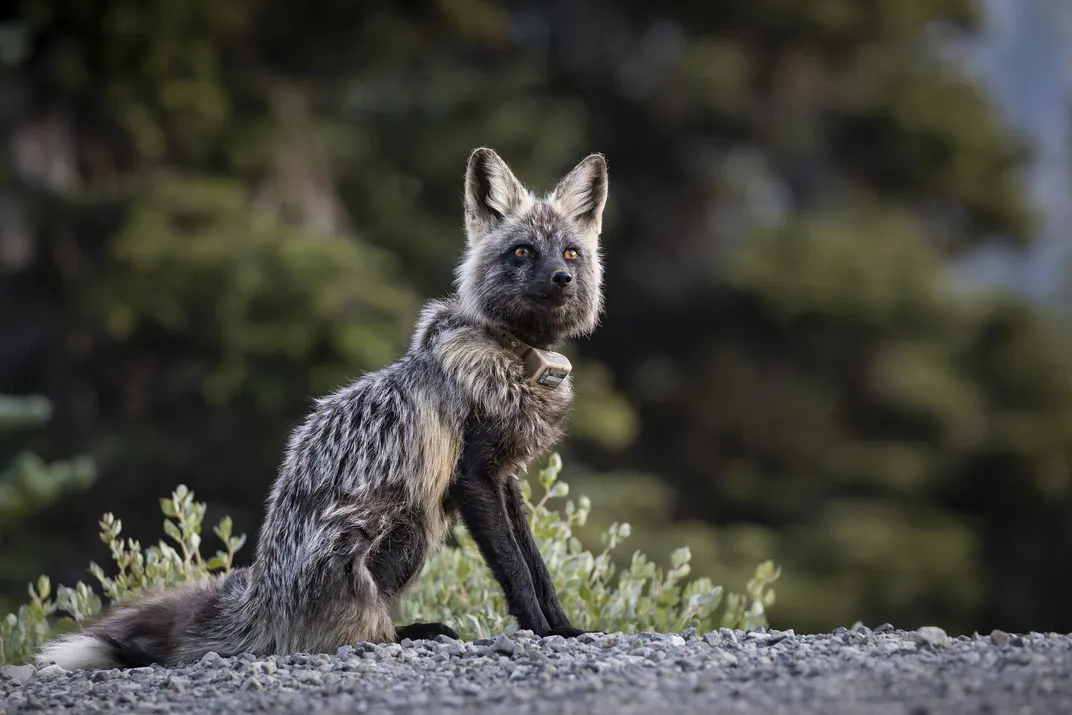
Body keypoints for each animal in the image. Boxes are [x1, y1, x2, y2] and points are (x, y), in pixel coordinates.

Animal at [36, 147, 610, 669]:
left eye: (570, 254)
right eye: (522, 252)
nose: (561, 279)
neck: (512, 356)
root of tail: (262, 592)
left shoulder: (505, 476)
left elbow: (538, 567)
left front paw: (565, 626)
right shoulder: (472, 477)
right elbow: (516, 571)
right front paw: (542, 631)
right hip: (410, 523)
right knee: (344, 636)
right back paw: (406, 634)